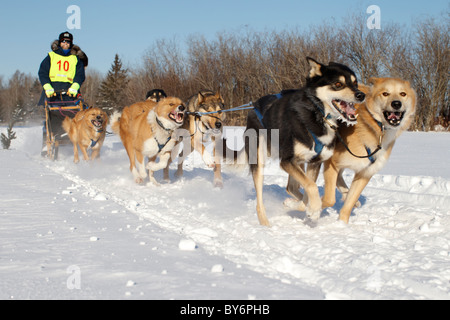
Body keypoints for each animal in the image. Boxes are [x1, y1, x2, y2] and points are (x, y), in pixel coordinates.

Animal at [318, 77, 416, 222]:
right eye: (385, 93)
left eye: (403, 94)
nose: (396, 103)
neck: (374, 126)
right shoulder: (332, 162)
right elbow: (329, 199)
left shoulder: (365, 172)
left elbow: (349, 204)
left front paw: (342, 224)